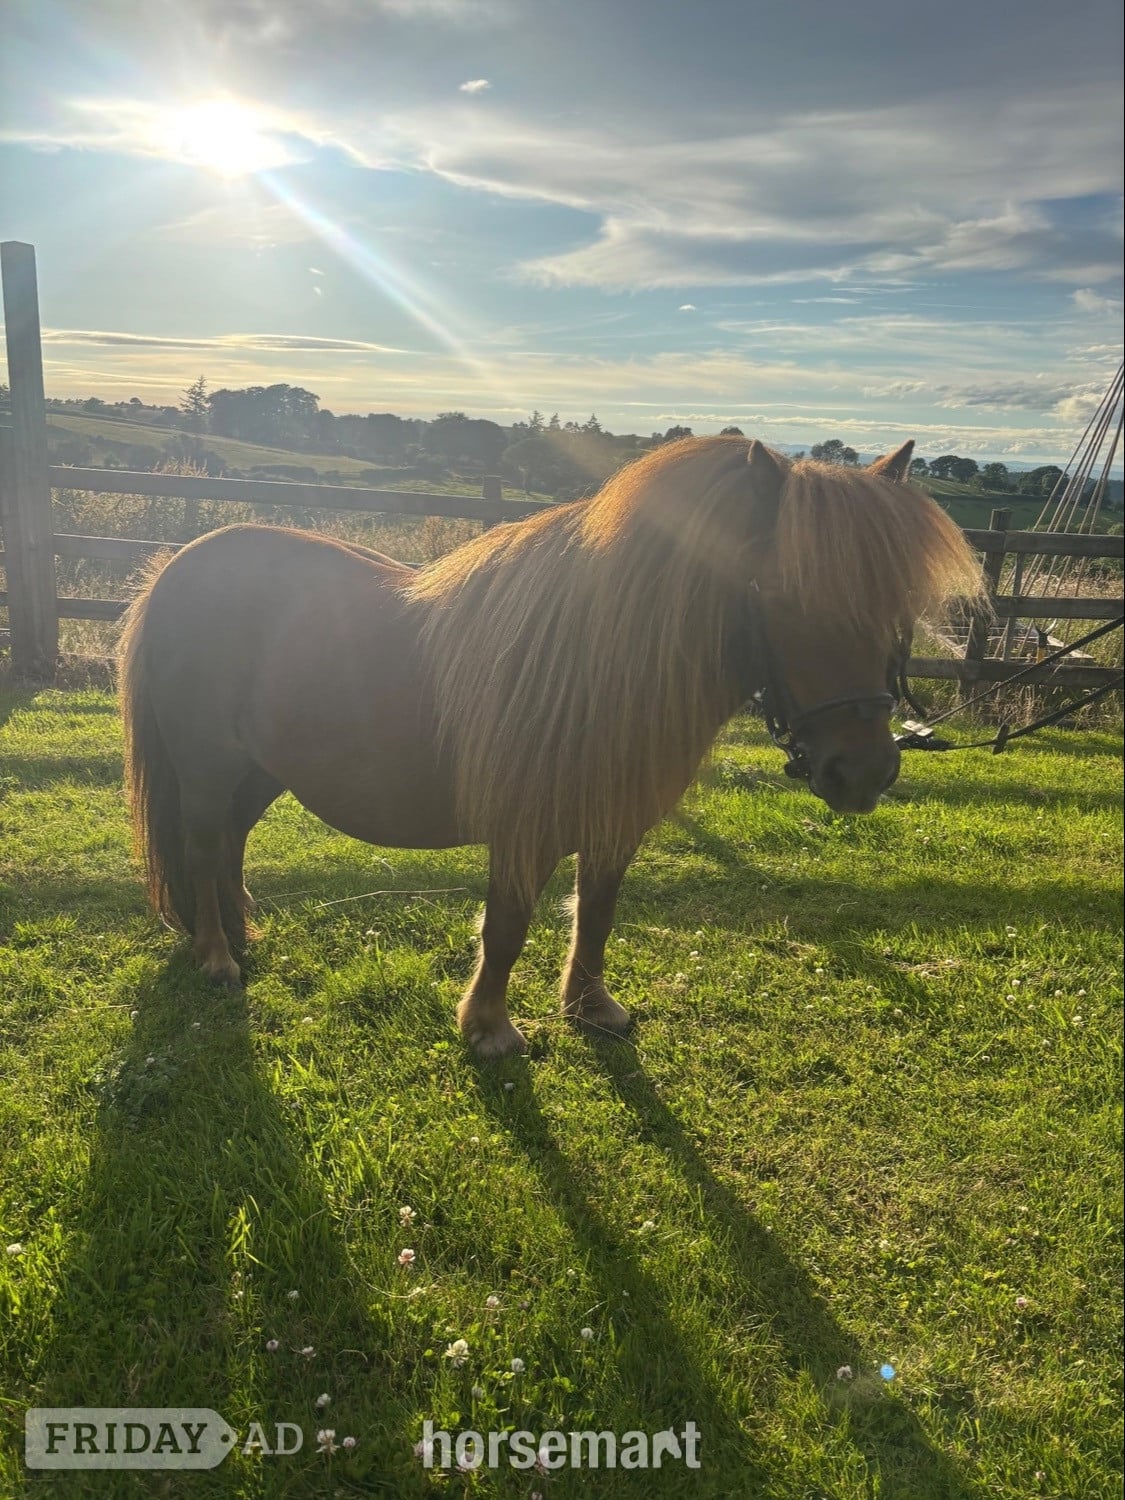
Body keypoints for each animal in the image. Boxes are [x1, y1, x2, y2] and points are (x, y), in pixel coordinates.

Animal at [118, 436, 980, 1057]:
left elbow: (594, 912)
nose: (864, 772)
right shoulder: (521, 826)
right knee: (203, 845)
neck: (597, 657)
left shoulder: (613, 821)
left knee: (229, 846)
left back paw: (240, 931)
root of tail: (179, 566)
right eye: (787, 595)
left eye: (898, 604)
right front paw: (490, 1029)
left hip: (259, 770)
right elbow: (507, 925)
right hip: (206, 767)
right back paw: (218, 958)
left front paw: (592, 1008)